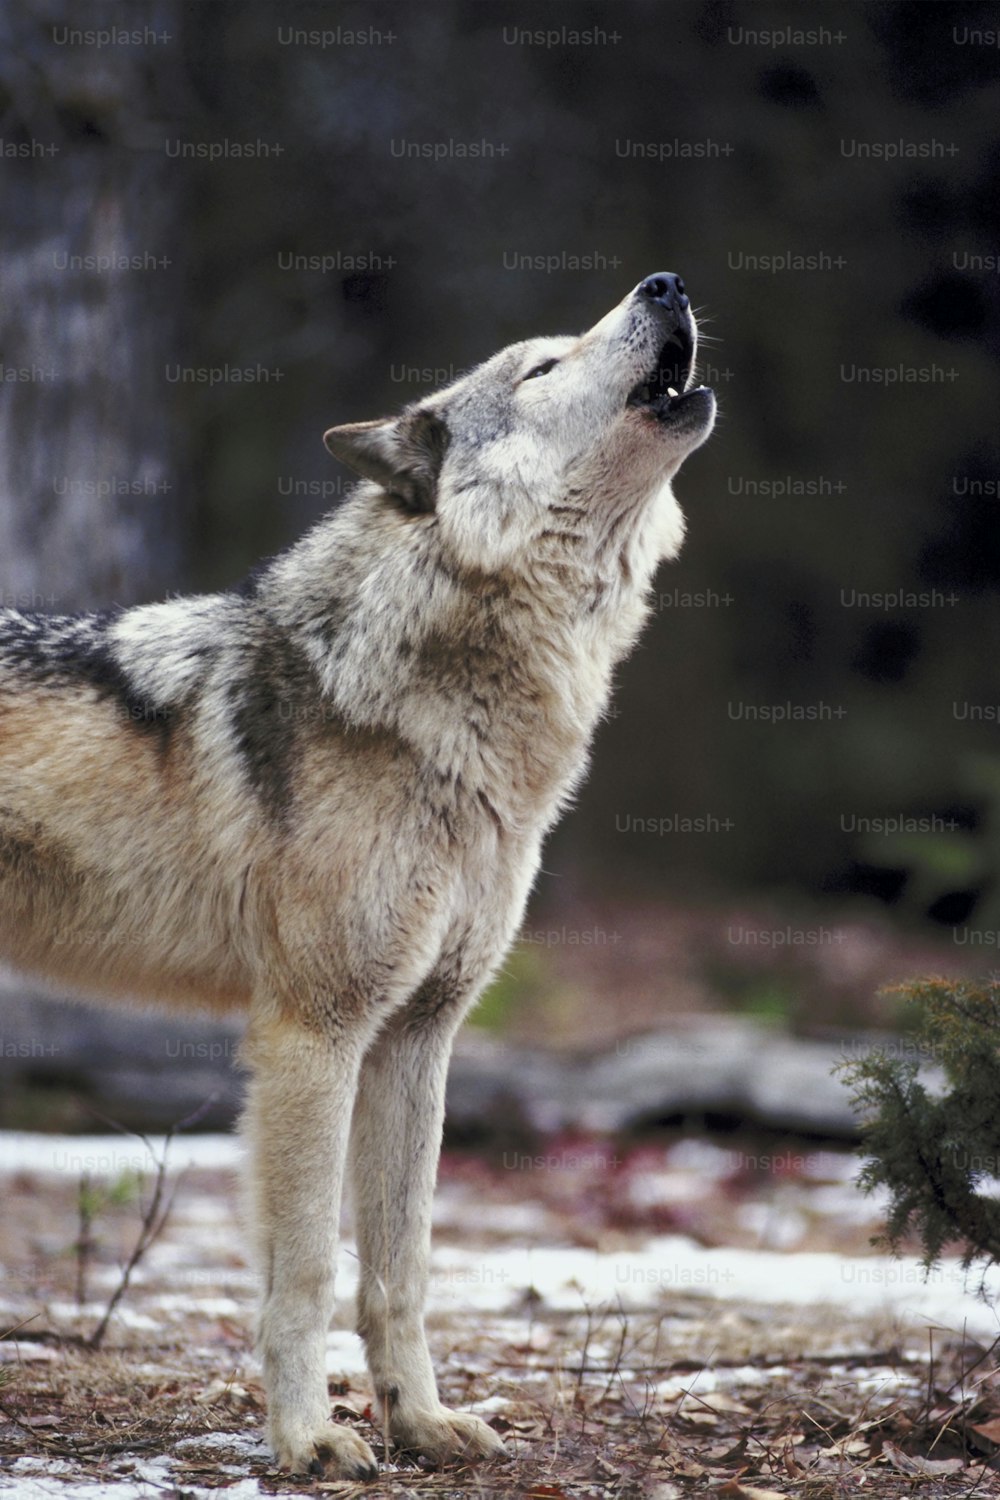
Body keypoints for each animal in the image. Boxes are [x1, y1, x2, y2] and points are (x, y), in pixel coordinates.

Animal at [1, 273, 719, 1476]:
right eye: (540, 366)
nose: (664, 286)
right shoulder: (313, 1032)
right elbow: (304, 1271)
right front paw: (307, 1439)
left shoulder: (418, 1037)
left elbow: (401, 1268)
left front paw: (419, 1423)